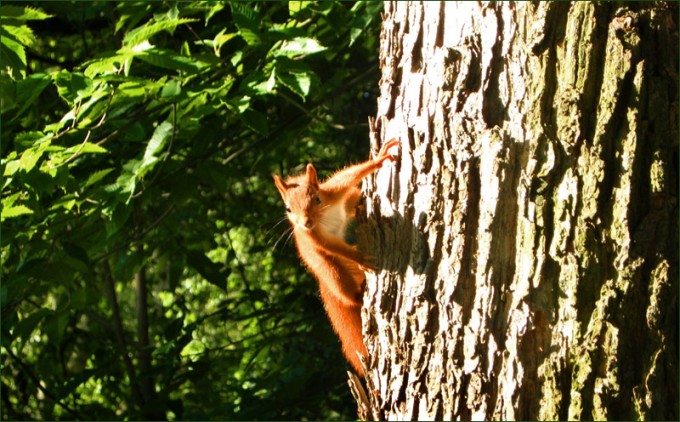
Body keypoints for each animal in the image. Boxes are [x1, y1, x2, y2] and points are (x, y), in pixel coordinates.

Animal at [273, 138, 399, 376]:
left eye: (317, 198)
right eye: (287, 208)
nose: (305, 222)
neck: (323, 217)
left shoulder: (334, 190)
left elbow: (348, 176)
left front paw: (377, 160)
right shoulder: (316, 239)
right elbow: (335, 247)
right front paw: (361, 257)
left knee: (352, 199)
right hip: (330, 271)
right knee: (345, 290)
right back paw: (358, 293)